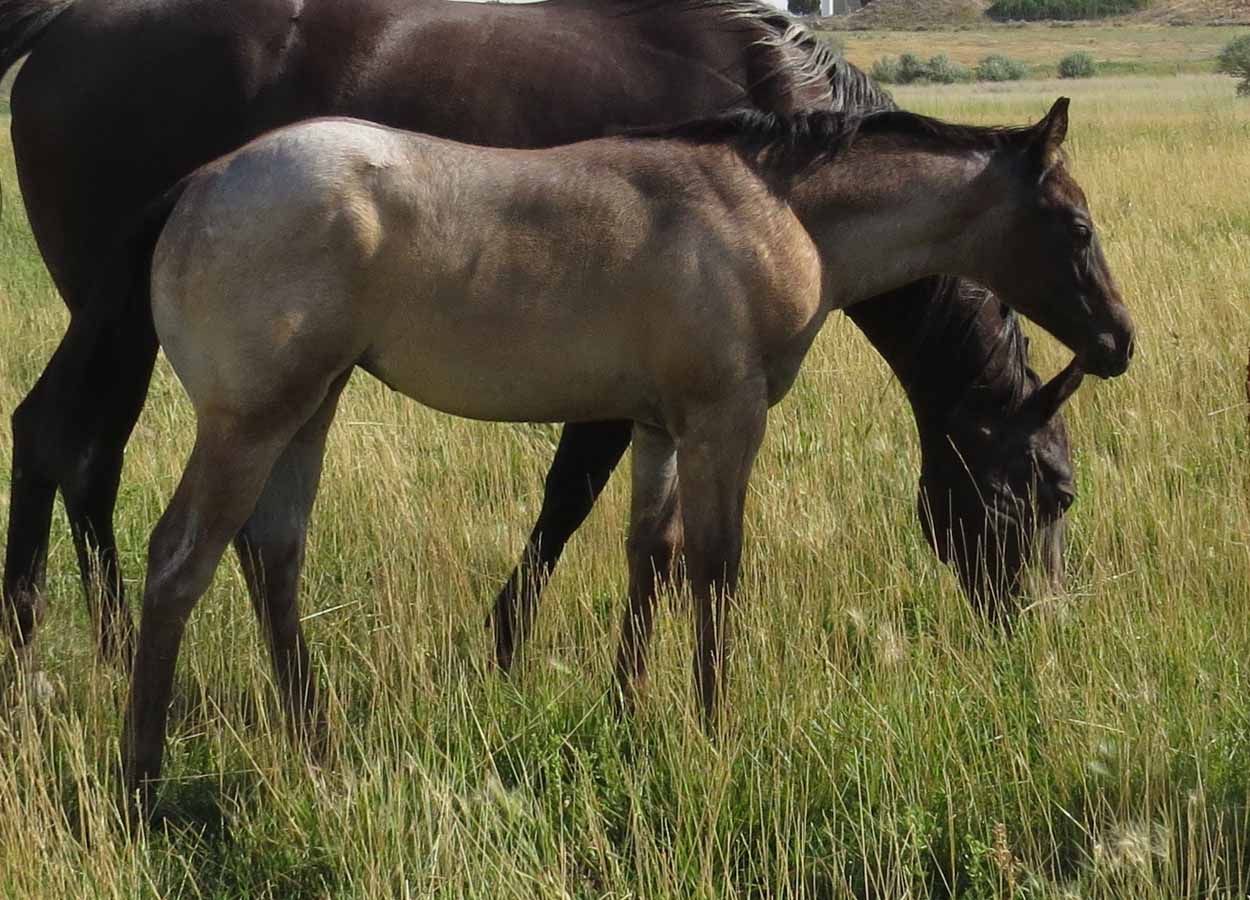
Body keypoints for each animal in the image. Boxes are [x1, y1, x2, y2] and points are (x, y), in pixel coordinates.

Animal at [2, 0, 1086, 685]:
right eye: (1049, 493)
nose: (1035, 636)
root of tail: (64, 22)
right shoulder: (628, 378)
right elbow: (571, 504)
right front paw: (503, 648)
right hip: (119, 318)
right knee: (69, 441)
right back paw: (56, 647)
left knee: (73, 446)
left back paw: (82, 646)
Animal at [120, 99, 1134, 807]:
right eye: (1080, 227)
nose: (1119, 342)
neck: (778, 209)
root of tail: (196, 186)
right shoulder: (726, 420)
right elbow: (718, 568)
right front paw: (716, 730)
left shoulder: (658, 426)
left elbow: (651, 555)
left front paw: (628, 713)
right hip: (249, 423)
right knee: (179, 563)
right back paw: (142, 788)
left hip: (312, 410)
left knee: (273, 557)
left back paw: (318, 753)